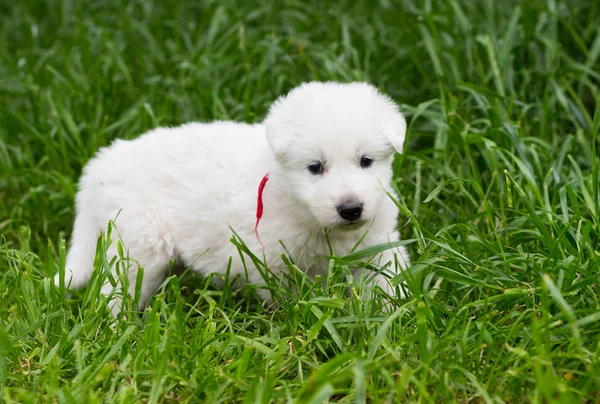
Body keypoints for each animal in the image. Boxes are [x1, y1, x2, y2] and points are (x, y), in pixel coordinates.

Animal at [57, 80, 408, 310]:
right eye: (315, 167)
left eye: (366, 161)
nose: (351, 209)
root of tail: (102, 164)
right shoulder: (270, 258)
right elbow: (287, 298)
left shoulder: (379, 242)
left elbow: (389, 277)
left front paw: (393, 316)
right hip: (142, 243)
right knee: (116, 289)